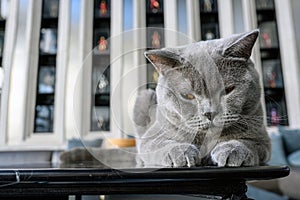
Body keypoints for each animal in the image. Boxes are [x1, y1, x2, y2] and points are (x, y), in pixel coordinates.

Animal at [132, 29, 270, 167]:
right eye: (188, 95)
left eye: (227, 90)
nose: (210, 113)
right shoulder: (152, 137)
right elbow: (161, 144)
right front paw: (182, 152)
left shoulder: (262, 138)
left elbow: (249, 142)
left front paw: (232, 150)